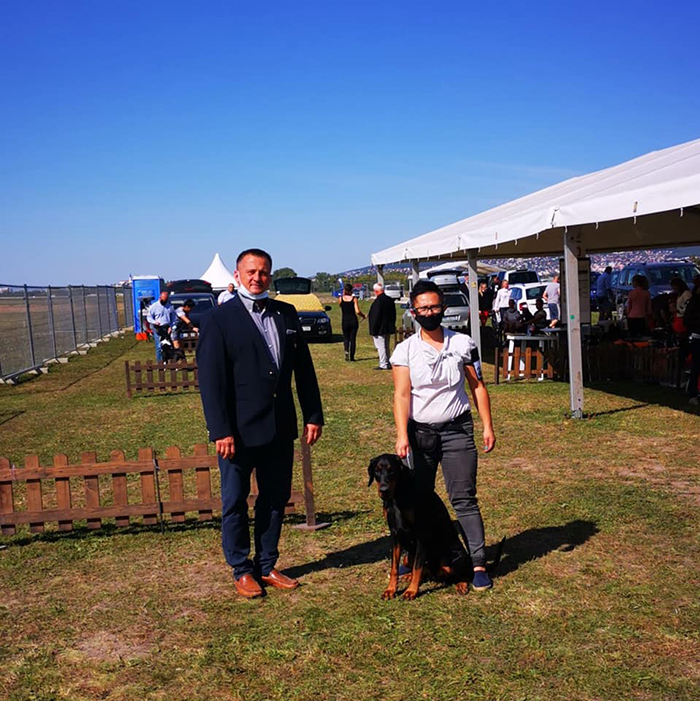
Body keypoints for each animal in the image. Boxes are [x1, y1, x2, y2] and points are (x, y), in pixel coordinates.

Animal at [368, 453, 473, 600]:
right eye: (377, 470)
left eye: (391, 470)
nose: (383, 490)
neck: (398, 496)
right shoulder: (395, 534)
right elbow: (394, 567)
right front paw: (390, 590)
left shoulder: (421, 535)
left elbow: (418, 567)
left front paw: (411, 591)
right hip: (407, 557)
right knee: (423, 570)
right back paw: (409, 575)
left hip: (451, 560)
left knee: (464, 574)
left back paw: (461, 584)